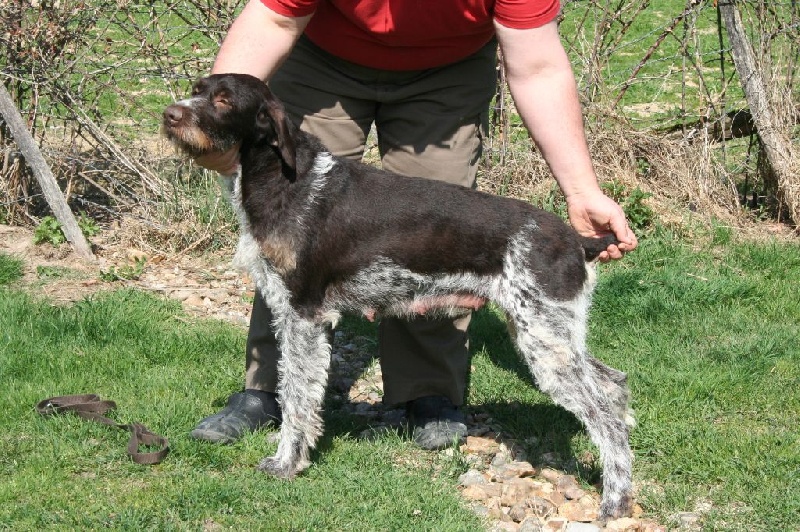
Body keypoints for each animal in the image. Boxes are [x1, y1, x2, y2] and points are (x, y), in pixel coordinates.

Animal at [164, 74, 636, 520]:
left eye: (224, 100)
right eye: (197, 89)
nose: (170, 114)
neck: (284, 178)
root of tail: (576, 239)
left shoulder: (304, 314)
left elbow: (297, 398)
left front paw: (286, 463)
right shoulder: (289, 310)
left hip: (544, 339)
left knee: (604, 416)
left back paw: (616, 499)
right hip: (552, 334)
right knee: (613, 384)